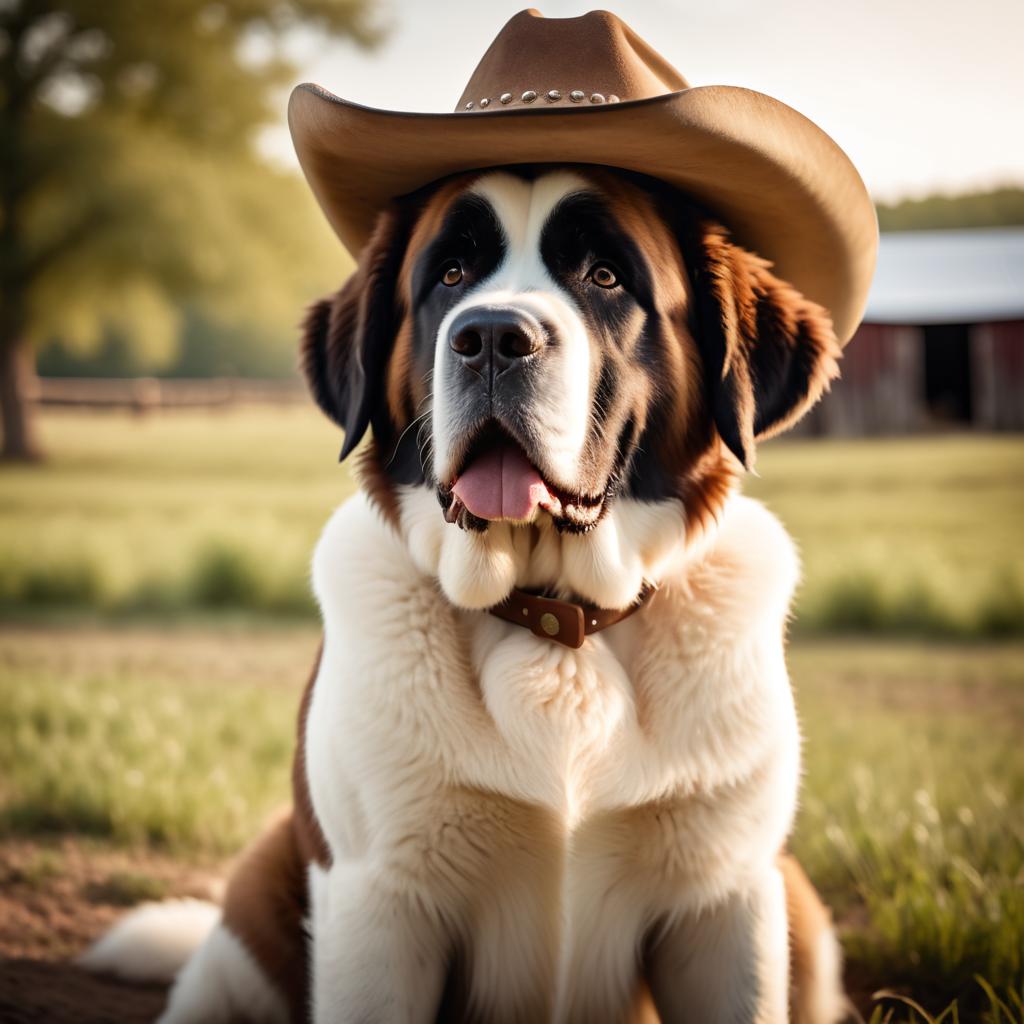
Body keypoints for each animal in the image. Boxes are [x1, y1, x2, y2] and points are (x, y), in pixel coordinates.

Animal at [81, 167, 847, 1024]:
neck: (554, 622)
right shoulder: (380, 903)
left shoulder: (723, 903)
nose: (490, 337)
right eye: (449, 275)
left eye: (606, 276)